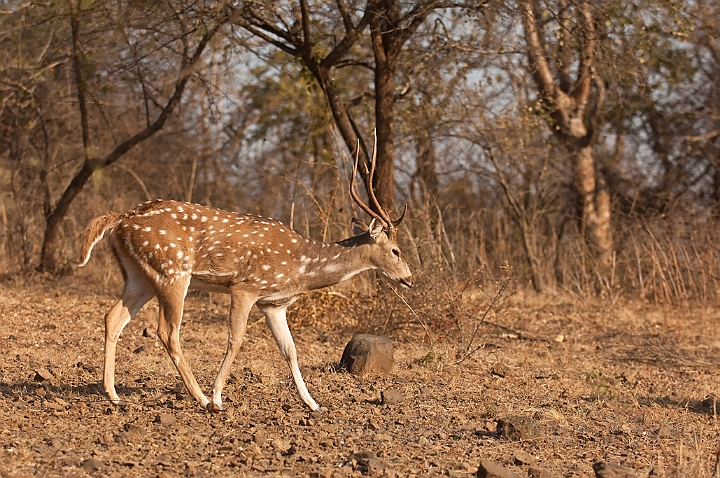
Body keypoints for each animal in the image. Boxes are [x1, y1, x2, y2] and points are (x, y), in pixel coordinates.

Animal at [79, 156, 414, 410]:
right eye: (396, 251)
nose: (409, 279)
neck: (301, 267)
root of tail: (120, 219)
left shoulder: (273, 304)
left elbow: (290, 349)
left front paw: (312, 403)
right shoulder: (246, 287)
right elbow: (236, 340)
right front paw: (218, 397)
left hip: (139, 278)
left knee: (112, 317)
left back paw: (113, 394)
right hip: (172, 273)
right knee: (167, 331)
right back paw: (202, 399)